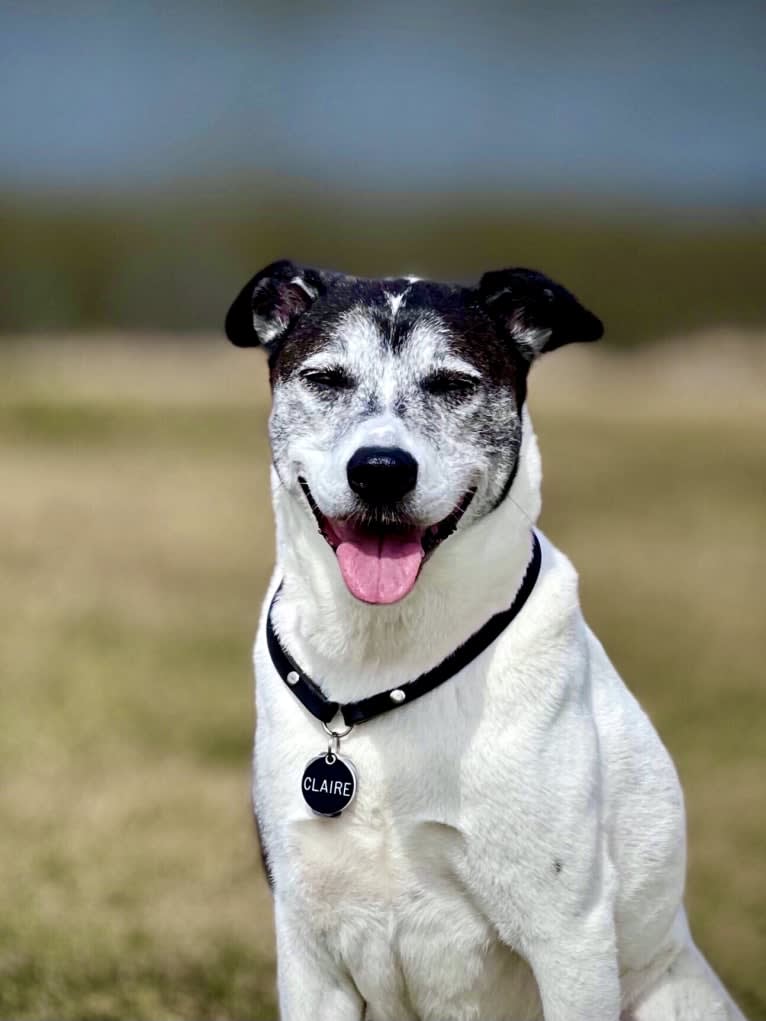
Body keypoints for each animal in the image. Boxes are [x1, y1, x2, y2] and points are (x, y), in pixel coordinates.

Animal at [224, 261, 747, 1021]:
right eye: (325, 378)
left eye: (452, 383)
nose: (380, 469)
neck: (382, 655)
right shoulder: (308, 941)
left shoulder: (569, 937)